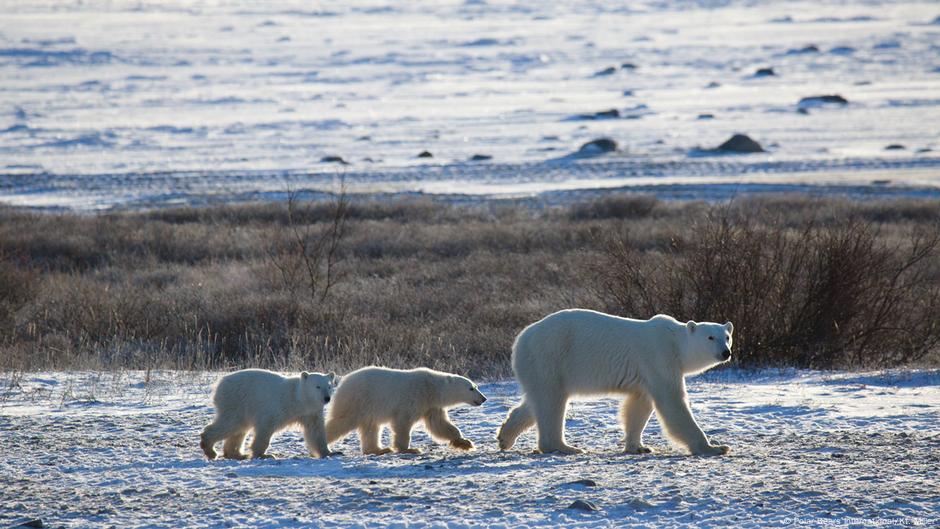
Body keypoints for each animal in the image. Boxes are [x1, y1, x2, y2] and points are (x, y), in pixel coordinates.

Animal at [198, 368, 338, 458]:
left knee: (239, 428)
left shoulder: (310, 412)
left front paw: (331, 452)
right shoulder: (278, 407)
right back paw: (210, 449)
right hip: (237, 400)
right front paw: (264, 454)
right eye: (317, 386)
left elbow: (316, 431)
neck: (298, 399)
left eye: (329, 386)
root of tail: (220, 383)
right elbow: (266, 426)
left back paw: (237, 454)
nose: (327, 398)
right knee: (231, 423)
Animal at [326, 368, 488, 454]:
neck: (432, 388)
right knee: (342, 422)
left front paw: (464, 442)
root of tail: (342, 382)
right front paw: (409, 449)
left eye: (475, 386)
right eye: (471, 388)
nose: (483, 398)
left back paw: (380, 449)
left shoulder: (431, 406)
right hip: (358, 400)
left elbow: (439, 424)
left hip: (367, 409)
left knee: (371, 428)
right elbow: (403, 422)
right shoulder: (414, 397)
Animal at [500, 310, 736, 454]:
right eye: (710, 337)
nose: (726, 353)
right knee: (551, 401)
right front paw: (715, 448)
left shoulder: (645, 374)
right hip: (549, 357)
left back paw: (505, 437)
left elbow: (639, 405)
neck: (675, 343)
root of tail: (520, 339)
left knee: (537, 400)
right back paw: (565, 447)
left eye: (727, 336)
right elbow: (672, 402)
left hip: (538, 365)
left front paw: (638, 446)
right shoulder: (659, 357)